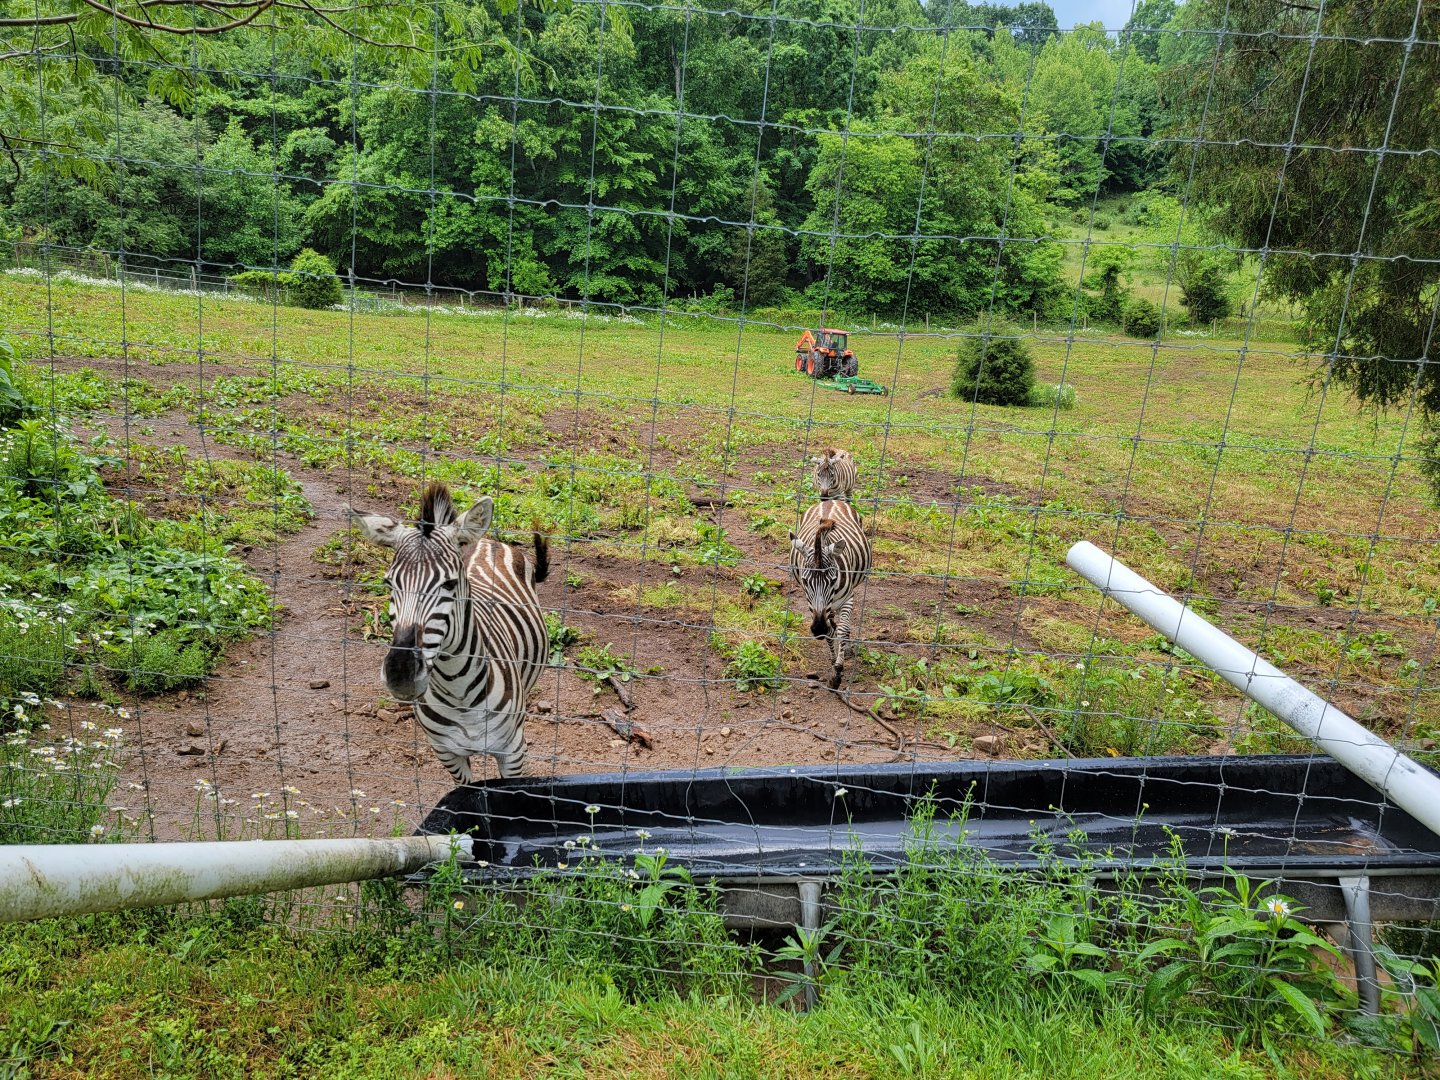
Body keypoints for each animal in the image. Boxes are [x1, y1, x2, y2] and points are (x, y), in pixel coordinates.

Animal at [355, 482, 549, 783]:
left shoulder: (513, 752)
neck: (460, 696)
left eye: (449, 584)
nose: (401, 675)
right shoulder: (446, 753)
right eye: (389, 583)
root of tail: (485, 540)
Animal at [789, 498, 871, 689]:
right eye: (805, 581)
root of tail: (830, 501)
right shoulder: (813, 605)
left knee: (842, 626)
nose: (818, 628)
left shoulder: (848, 598)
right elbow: (830, 633)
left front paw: (838, 670)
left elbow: (842, 630)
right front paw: (834, 664)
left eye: (833, 580)